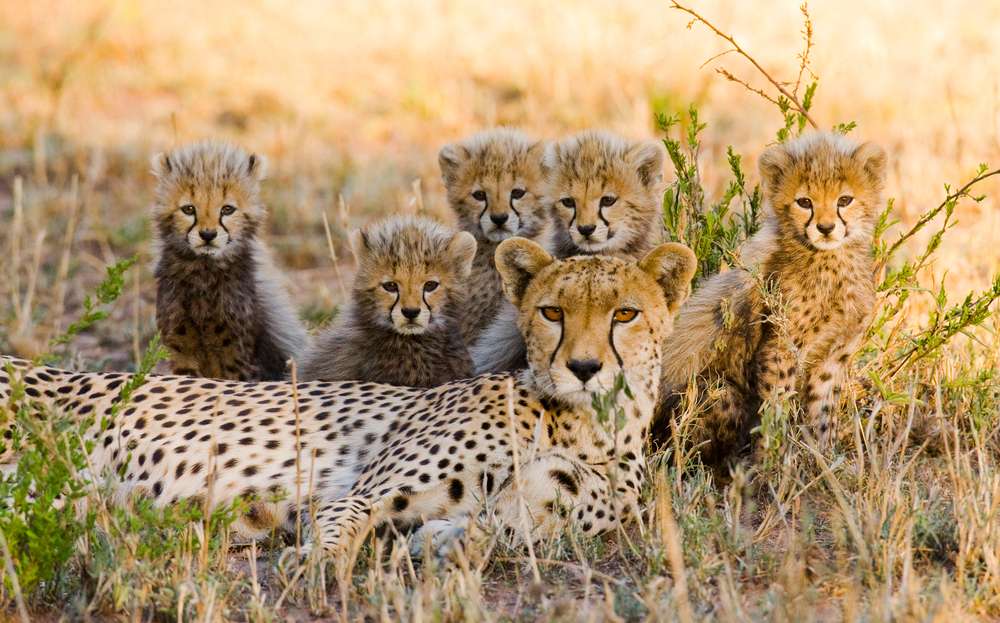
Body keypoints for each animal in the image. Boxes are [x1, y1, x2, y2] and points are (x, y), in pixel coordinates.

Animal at [0, 238, 695, 559]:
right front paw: (314, 563)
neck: (590, 424)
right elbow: (342, 528)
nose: (584, 368)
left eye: (625, 313)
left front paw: (440, 544)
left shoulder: (538, 511)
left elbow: (489, 529)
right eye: (552, 312)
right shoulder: (356, 493)